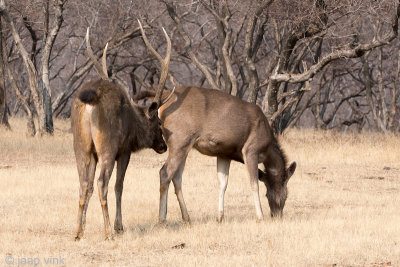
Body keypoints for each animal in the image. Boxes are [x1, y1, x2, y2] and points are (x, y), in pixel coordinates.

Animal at [70, 23, 173, 241]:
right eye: (159, 122)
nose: (163, 146)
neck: (135, 126)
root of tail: (91, 99)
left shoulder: (94, 153)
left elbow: (88, 187)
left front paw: (83, 227)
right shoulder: (124, 150)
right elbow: (119, 186)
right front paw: (119, 225)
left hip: (81, 145)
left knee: (84, 183)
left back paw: (76, 232)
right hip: (107, 145)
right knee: (102, 183)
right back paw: (108, 231)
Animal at [135, 86, 296, 224]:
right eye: (286, 193)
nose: (277, 215)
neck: (268, 148)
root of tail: (164, 97)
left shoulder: (224, 153)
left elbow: (222, 183)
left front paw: (220, 217)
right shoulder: (251, 149)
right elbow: (253, 183)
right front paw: (260, 217)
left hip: (183, 145)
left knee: (176, 177)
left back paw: (187, 218)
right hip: (180, 139)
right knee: (165, 172)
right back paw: (162, 218)